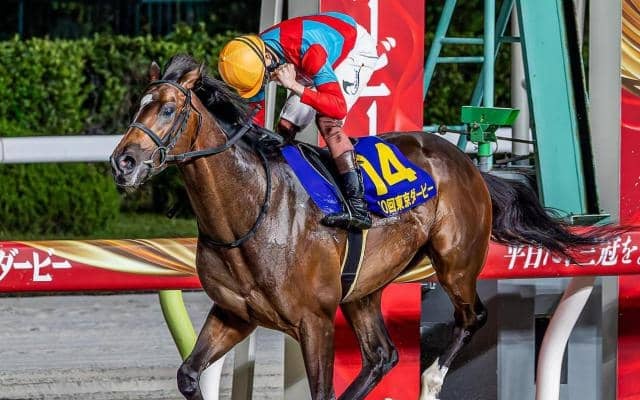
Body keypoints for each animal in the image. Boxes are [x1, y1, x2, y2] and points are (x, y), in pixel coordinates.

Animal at [110, 54, 618, 400]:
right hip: (364, 288)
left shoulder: (314, 321)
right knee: (381, 356)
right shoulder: (234, 314)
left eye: (168, 109)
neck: (251, 209)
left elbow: (321, 391)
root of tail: (467, 163)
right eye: (137, 106)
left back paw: (431, 381)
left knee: (470, 317)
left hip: (455, 262)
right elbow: (188, 374)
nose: (123, 162)